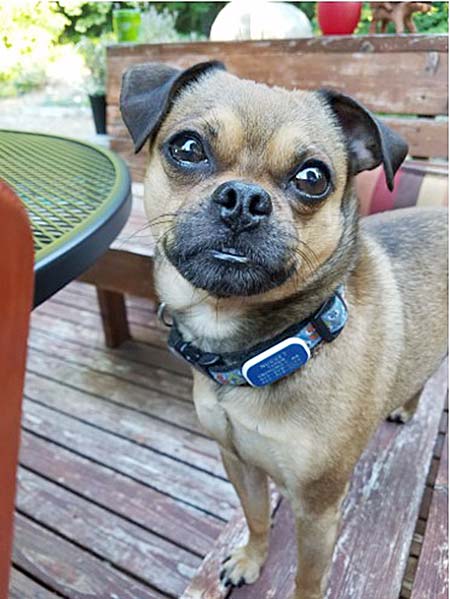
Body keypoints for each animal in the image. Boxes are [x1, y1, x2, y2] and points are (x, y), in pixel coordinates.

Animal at [119, 62, 446, 599]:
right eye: (187, 148)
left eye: (312, 178)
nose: (244, 199)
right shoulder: (239, 463)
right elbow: (256, 519)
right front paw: (250, 559)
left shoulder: (317, 508)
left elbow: (308, 577)